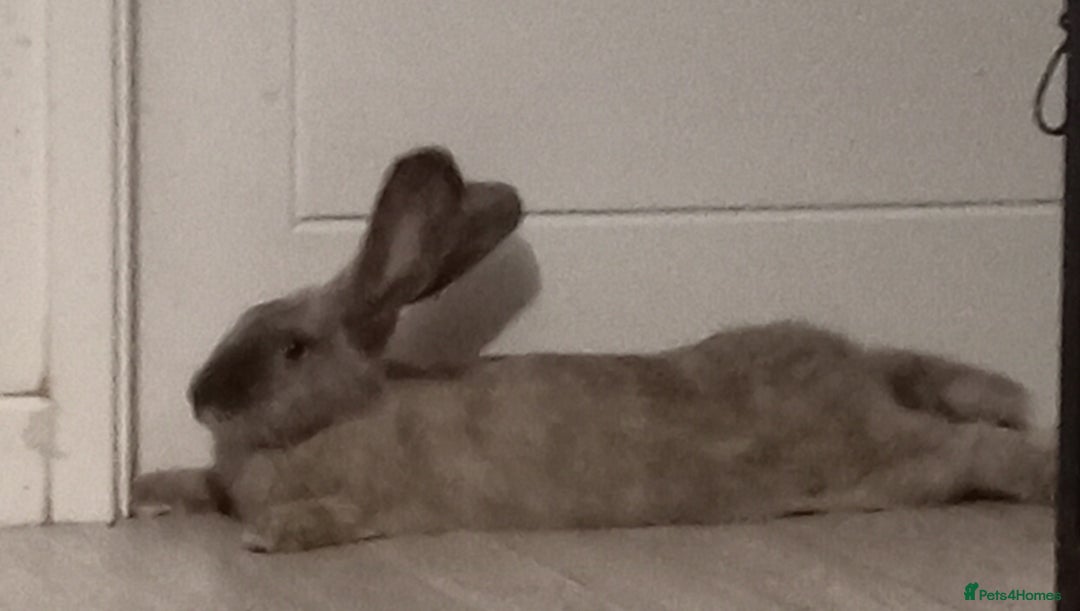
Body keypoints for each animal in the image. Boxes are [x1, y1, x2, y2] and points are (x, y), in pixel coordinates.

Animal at [136, 146, 1056, 553]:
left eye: (292, 348)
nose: (198, 397)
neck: (345, 415)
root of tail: (865, 372)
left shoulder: (373, 501)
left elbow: (326, 519)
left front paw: (269, 536)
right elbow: (201, 487)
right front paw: (150, 488)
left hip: (886, 458)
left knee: (976, 447)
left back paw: (1046, 477)